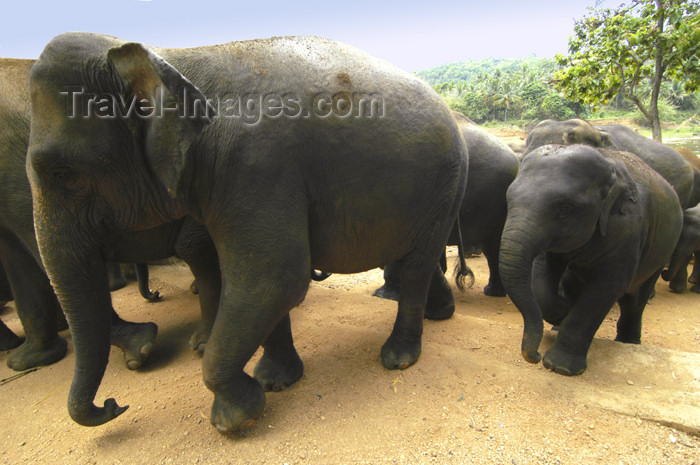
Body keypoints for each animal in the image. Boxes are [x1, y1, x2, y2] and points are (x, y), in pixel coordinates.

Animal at [28, 33, 470, 436]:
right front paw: (275, 381)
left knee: (415, 266)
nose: (115, 404)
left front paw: (234, 418)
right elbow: (263, 286)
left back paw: (398, 358)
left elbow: (273, 279)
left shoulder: (255, 165)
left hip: (446, 186)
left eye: (65, 175)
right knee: (411, 258)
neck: (170, 58)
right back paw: (436, 316)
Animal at [500, 143, 680, 376]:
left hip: (660, 253)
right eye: (509, 199)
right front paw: (563, 313)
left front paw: (559, 367)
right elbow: (542, 279)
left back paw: (628, 342)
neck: (608, 163)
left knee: (635, 299)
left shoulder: (627, 229)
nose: (535, 356)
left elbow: (606, 288)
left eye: (564, 209)